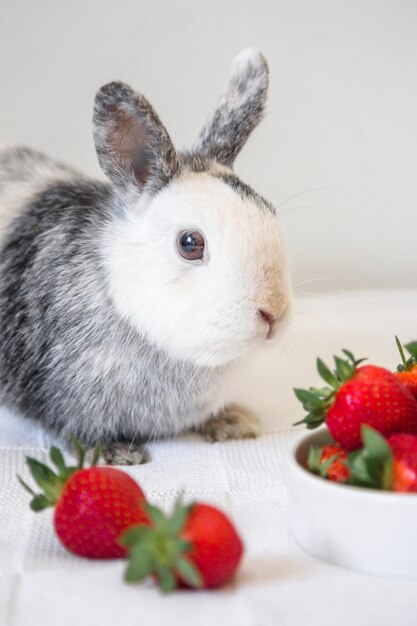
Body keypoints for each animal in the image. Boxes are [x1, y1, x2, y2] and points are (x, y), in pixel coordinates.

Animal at [0, 50, 290, 464]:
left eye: (269, 211)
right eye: (190, 243)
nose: (273, 313)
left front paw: (234, 422)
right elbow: (80, 432)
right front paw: (119, 454)